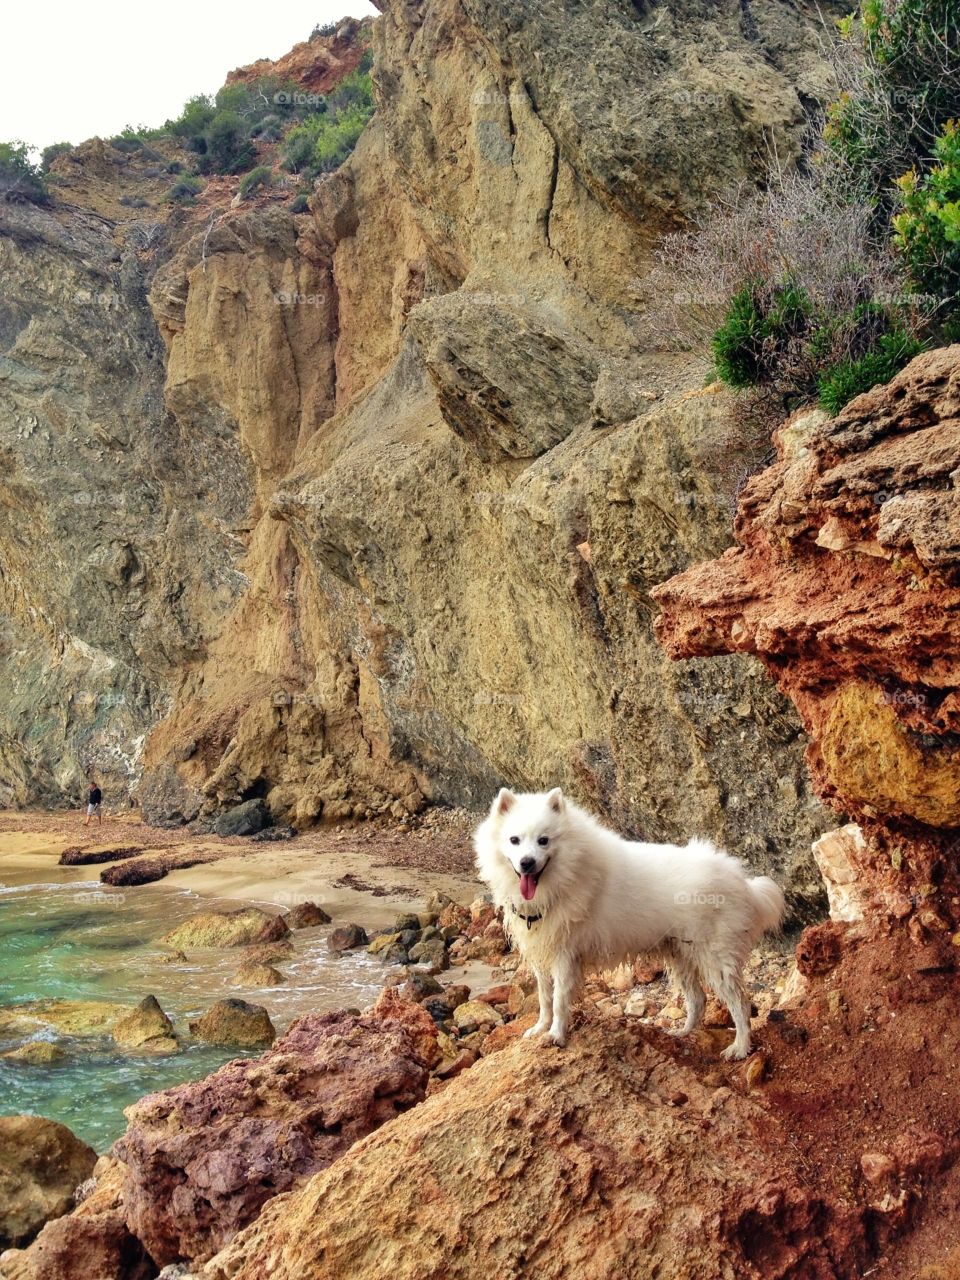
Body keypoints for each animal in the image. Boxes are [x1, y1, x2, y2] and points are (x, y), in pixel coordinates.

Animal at [476, 788, 788, 1059]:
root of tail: (743, 882)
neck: (565, 875)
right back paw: (683, 1033)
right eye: (514, 840)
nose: (527, 863)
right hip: (680, 955)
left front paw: (556, 1035)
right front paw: (540, 1028)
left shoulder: (565, 955)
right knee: (698, 1000)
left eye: (544, 840)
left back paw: (740, 1047)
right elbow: (544, 997)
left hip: (714, 958)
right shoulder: (543, 950)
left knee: (740, 1003)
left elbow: (560, 998)